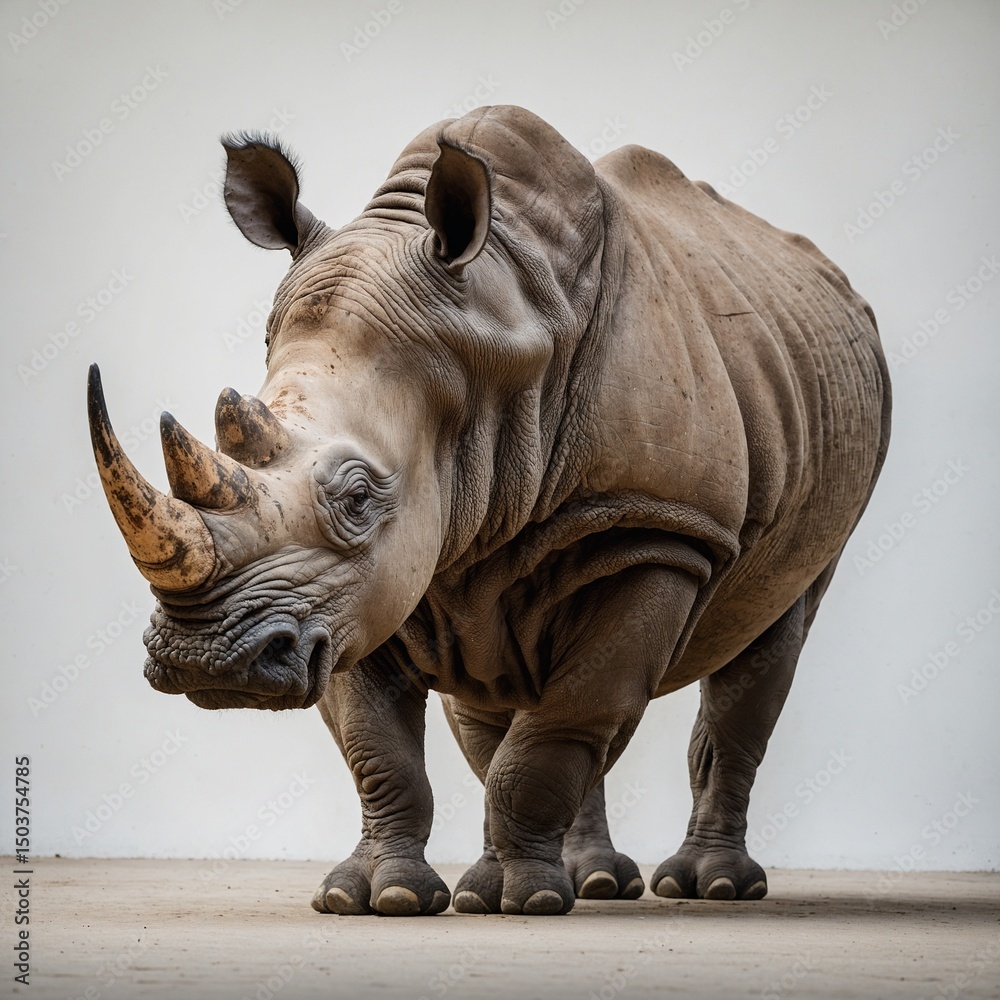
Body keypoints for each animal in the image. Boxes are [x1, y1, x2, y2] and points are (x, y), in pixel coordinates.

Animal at [87, 105, 890, 916]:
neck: (483, 341)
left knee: (755, 654)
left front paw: (523, 902)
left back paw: (703, 887)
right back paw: (573, 884)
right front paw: (375, 898)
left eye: (356, 497)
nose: (204, 658)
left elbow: (562, 726)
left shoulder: (656, 528)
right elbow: (381, 748)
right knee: (509, 701)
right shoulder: (360, 588)